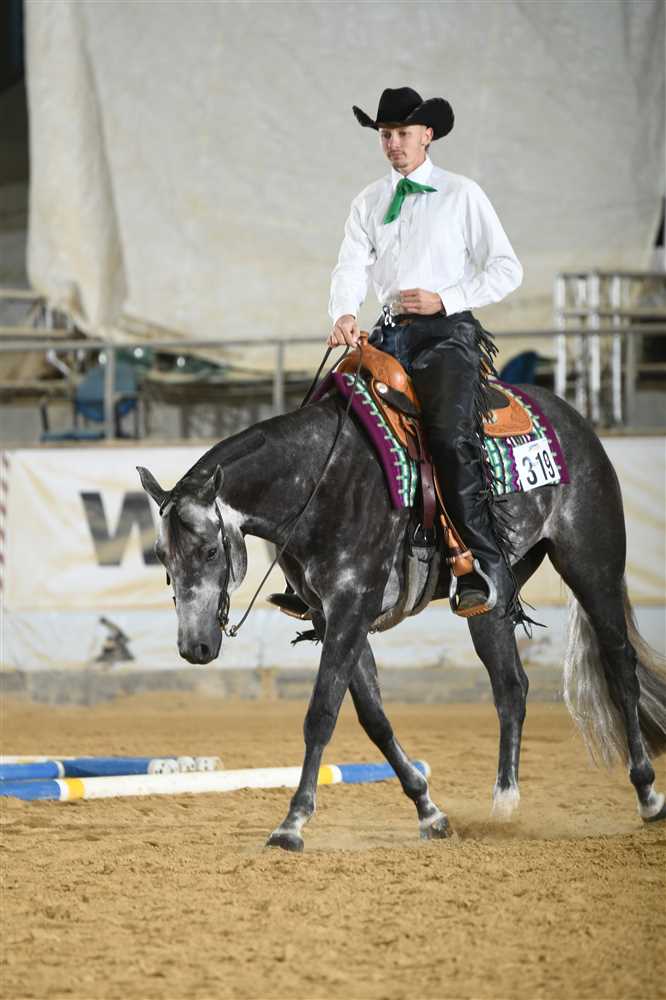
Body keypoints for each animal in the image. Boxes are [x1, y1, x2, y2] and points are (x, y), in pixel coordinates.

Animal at [137, 380, 666, 851]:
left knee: (621, 667)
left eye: (210, 551)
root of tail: (573, 417)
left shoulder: (351, 609)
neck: (322, 483)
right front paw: (429, 812)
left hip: (592, 566)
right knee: (511, 689)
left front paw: (291, 824)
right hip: (490, 598)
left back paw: (647, 794)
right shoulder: (334, 618)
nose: (194, 647)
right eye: (162, 557)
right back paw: (504, 807)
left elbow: (321, 714)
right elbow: (374, 718)